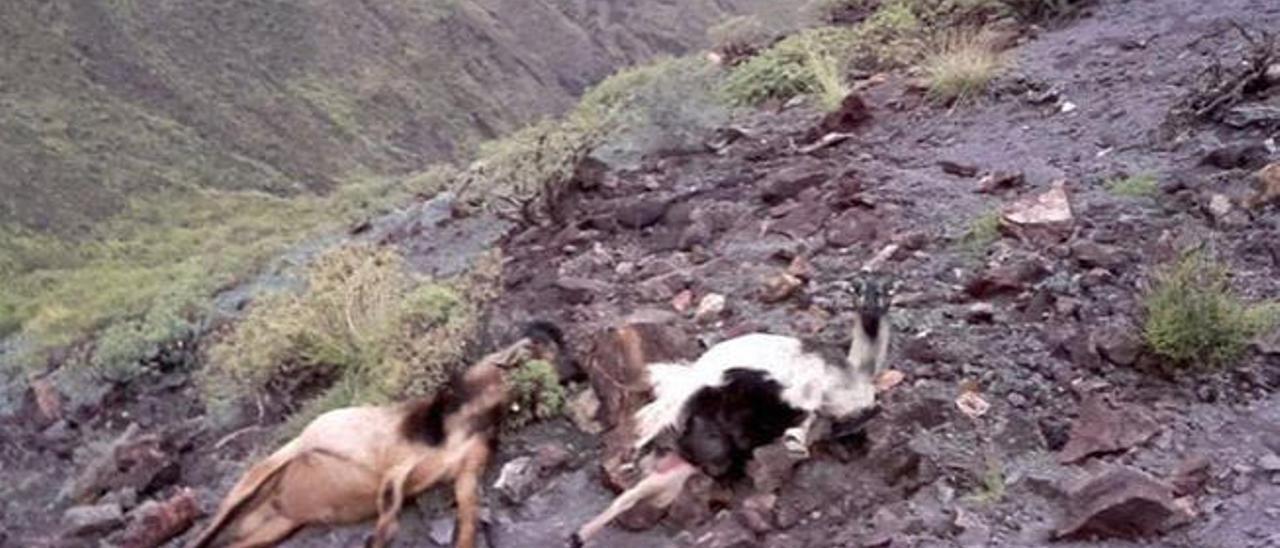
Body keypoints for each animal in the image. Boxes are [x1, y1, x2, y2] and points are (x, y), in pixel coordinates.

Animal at [188, 321, 565, 548]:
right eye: (536, 348)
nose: (571, 370)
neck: (460, 421)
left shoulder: (466, 472)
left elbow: (469, 516)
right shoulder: (394, 467)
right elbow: (388, 517)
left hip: (276, 525)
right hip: (254, 482)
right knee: (208, 532)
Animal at [576, 274, 896, 542]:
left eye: (884, 292)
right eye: (858, 290)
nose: (871, 307)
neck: (853, 374)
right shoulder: (805, 391)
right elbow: (810, 417)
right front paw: (798, 443)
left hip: (697, 448)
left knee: (647, 484)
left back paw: (582, 532)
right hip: (694, 405)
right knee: (652, 428)